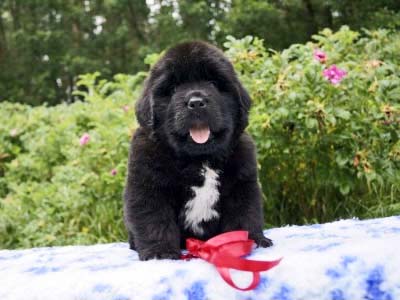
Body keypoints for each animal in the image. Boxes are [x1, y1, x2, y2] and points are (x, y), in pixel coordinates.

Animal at [122, 40, 272, 260]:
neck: (200, 159)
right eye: (174, 88)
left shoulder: (242, 184)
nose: (196, 102)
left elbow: (244, 214)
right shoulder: (149, 186)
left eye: (213, 83)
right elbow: (154, 219)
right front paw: (160, 252)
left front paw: (251, 240)